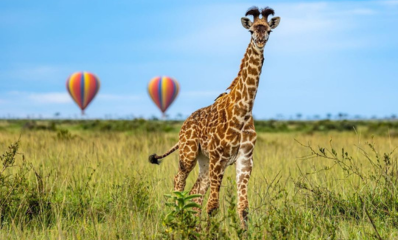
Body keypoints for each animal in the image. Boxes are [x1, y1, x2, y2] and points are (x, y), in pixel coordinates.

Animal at [148, 6, 282, 229]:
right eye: (251, 31)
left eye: (269, 30)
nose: (261, 40)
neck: (243, 113)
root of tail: (184, 124)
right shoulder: (219, 157)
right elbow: (213, 206)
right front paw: (212, 232)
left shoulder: (245, 160)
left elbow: (243, 208)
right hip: (189, 154)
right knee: (179, 181)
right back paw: (176, 222)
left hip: (204, 161)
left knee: (195, 192)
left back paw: (193, 227)